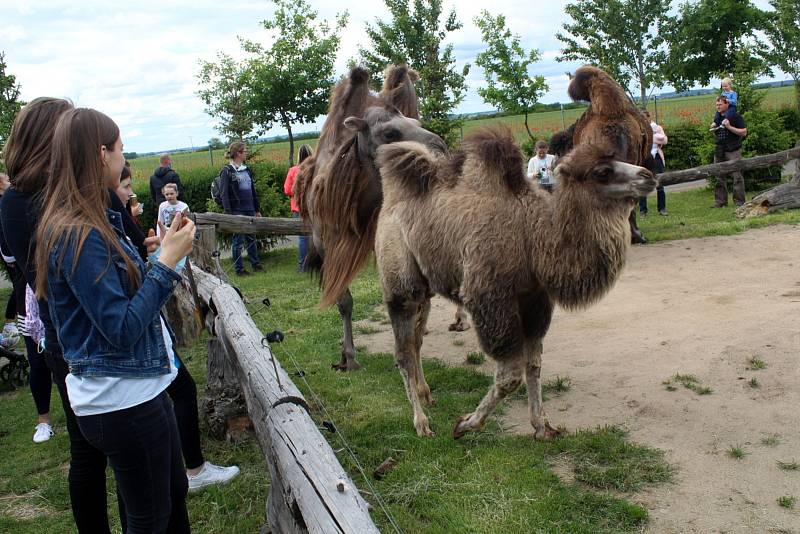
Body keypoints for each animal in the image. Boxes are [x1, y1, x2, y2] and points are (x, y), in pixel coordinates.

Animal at [292, 66, 446, 372]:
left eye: (416, 120)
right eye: (389, 132)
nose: (440, 148)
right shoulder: (328, 242)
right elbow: (344, 301)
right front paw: (349, 356)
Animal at [376, 124, 656, 440]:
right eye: (602, 171)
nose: (647, 175)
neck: (532, 237)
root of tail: (389, 206)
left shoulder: (534, 298)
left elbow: (533, 365)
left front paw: (542, 426)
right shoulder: (490, 298)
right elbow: (510, 376)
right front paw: (465, 424)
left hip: (425, 289)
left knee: (416, 340)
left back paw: (427, 395)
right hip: (399, 279)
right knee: (402, 352)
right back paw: (421, 423)